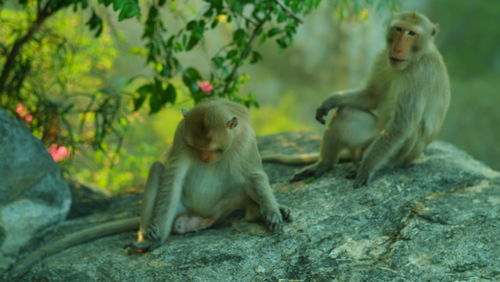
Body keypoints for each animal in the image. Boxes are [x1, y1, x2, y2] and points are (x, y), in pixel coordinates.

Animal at [270, 11, 454, 188]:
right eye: (399, 29)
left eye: (412, 33)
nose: (398, 48)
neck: (415, 59)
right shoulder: (382, 57)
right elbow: (373, 95)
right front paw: (331, 100)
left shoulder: (421, 73)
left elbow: (401, 124)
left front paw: (367, 168)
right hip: (367, 140)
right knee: (345, 113)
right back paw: (324, 164)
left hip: (402, 155)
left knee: (411, 128)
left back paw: (377, 164)